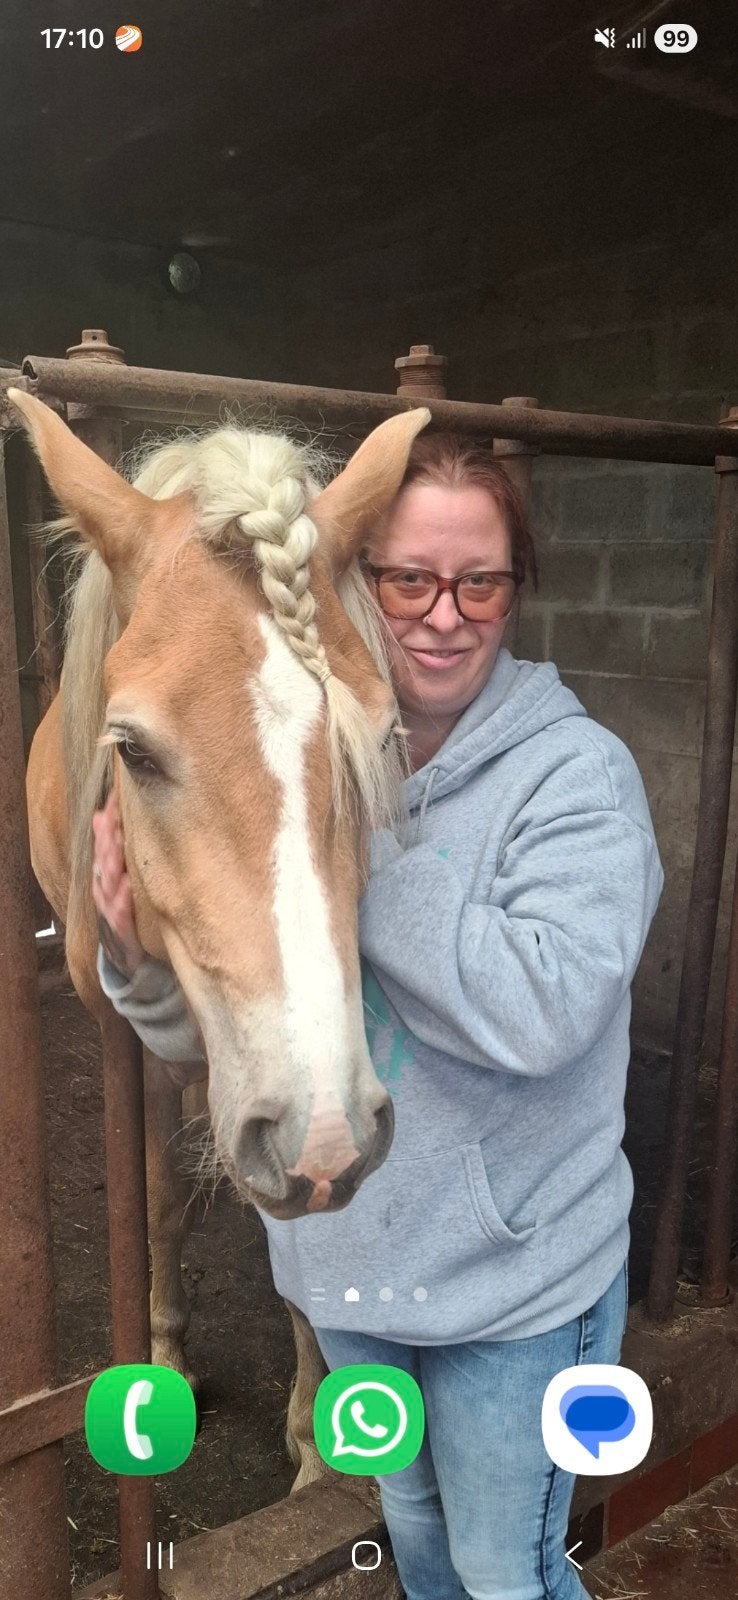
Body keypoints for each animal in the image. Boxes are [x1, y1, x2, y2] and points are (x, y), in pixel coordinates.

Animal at [9, 387, 430, 1488]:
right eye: (132, 750)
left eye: (382, 739)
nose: (324, 1132)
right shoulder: (139, 1044)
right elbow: (156, 1196)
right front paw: (163, 1352)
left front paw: (318, 1448)